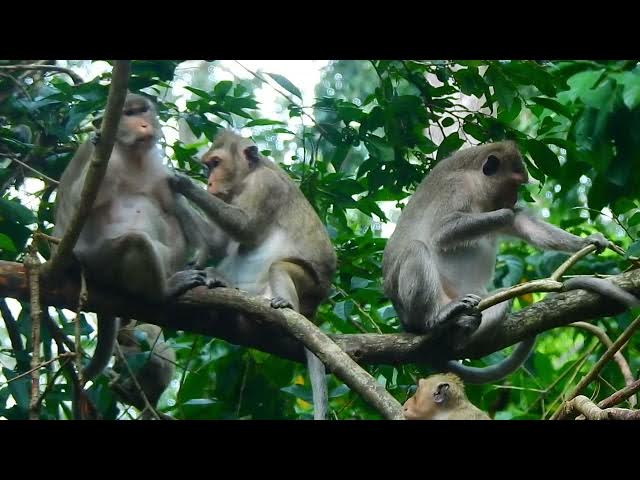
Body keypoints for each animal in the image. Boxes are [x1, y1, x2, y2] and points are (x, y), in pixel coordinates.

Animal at [52, 93, 214, 405]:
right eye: (127, 114)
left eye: (142, 111)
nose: (143, 124)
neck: (132, 155)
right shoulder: (100, 162)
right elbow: (76, 208)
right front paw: (96, 138)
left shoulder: (158, 168)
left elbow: (174, 202)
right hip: (97, 262)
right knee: (135, 242)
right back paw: (162, 293)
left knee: (173, 211)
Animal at [168, 130, 337, 420]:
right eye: (208, 166)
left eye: (215, 163)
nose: (209, 182)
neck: (247, 178)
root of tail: (312, 311)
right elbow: (218, 243)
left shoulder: (264, 185)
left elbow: (245, 228)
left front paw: (183, 183)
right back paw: (216, 281)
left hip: (309, 288)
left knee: (278, 267)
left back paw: (282, 306)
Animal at [383, 140, 639, 384]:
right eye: (514, 184)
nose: (514, 198)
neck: (475, 182)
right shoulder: (455, 188)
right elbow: (443, 231)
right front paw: (506, 214)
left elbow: (527, 226)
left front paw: (589, 240)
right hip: (410, 310)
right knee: (416, 249)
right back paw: (434, 319)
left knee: (499, 301)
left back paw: (460, 333)